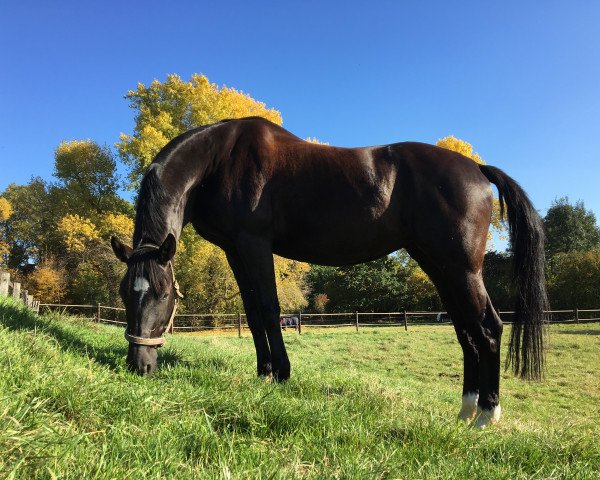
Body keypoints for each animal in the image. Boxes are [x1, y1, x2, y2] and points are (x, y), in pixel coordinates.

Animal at [111, 116, 548, 428]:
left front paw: (281, 375)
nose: (139, 366)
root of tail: (477, 169)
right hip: (439, 267)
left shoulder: (255, 243)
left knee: (488, 329)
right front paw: (262, 373)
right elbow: (251, 314)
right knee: (466, 333)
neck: (219, 159)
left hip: (461, 269)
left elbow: (269, 309)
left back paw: (486, 416)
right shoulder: (235, 250)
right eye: (124, 293)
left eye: (163, 293)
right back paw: (465, 412)